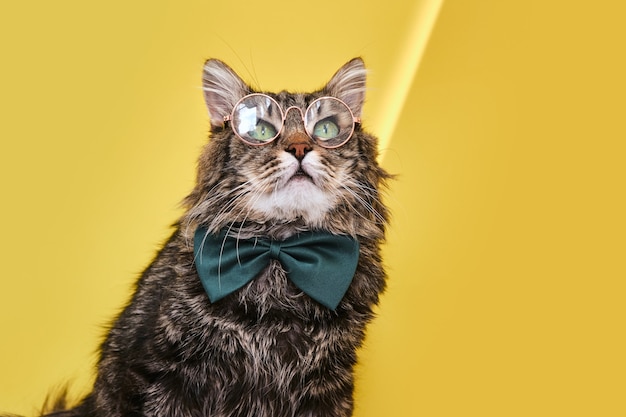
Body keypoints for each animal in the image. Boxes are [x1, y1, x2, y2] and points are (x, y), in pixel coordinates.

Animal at [8, 57, 390, 416]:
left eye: (326, 129)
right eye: (261, 130)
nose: (299, 149)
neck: (280, 250)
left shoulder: (327, 387)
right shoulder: (166, 376)